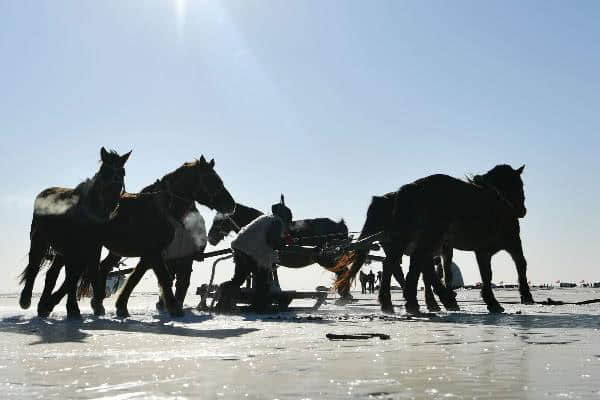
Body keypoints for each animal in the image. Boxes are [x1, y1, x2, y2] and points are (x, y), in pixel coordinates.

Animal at [19, 147, 131, 318]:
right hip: (39, 240)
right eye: (104, 171)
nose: (113, 201)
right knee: (34, 267)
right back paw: (26, 300)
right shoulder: (74, 249)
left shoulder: (92, 248)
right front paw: (72, 307)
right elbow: (72, 276)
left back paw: (43, 306)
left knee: (51, 275)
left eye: (122, 172)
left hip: (61, 251)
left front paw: (94, 307)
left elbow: (87, 272)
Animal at [338, 164, 528, 314]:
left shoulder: (475, 249)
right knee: (411, 264)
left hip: (407, 240)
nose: (521, 211)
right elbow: (513, 266)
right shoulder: (505, 243)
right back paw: (422, 302)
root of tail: (411, 187)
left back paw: (397, 303)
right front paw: (519, 297)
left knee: (397, 264)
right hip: (426, 237)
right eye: (519, 185)